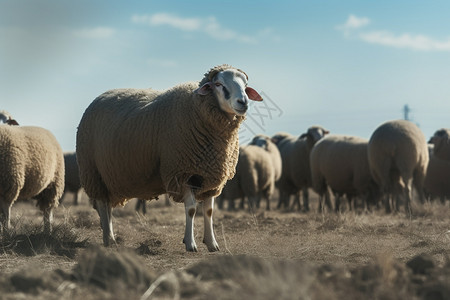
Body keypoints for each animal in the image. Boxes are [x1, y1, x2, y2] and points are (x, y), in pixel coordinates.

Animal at [75, 64, 262, 252]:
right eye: (218, 84)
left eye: (246, 85)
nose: (243, 102)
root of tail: (98, 98)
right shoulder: (183, 172)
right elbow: (191, 210)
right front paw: (190, 243)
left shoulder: (209, 175)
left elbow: (209, 211)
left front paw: (212, 243)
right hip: (93, 172)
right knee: (102, 205)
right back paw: (109, 239)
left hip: (108, 178)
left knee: (107, 208)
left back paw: (110, 238)